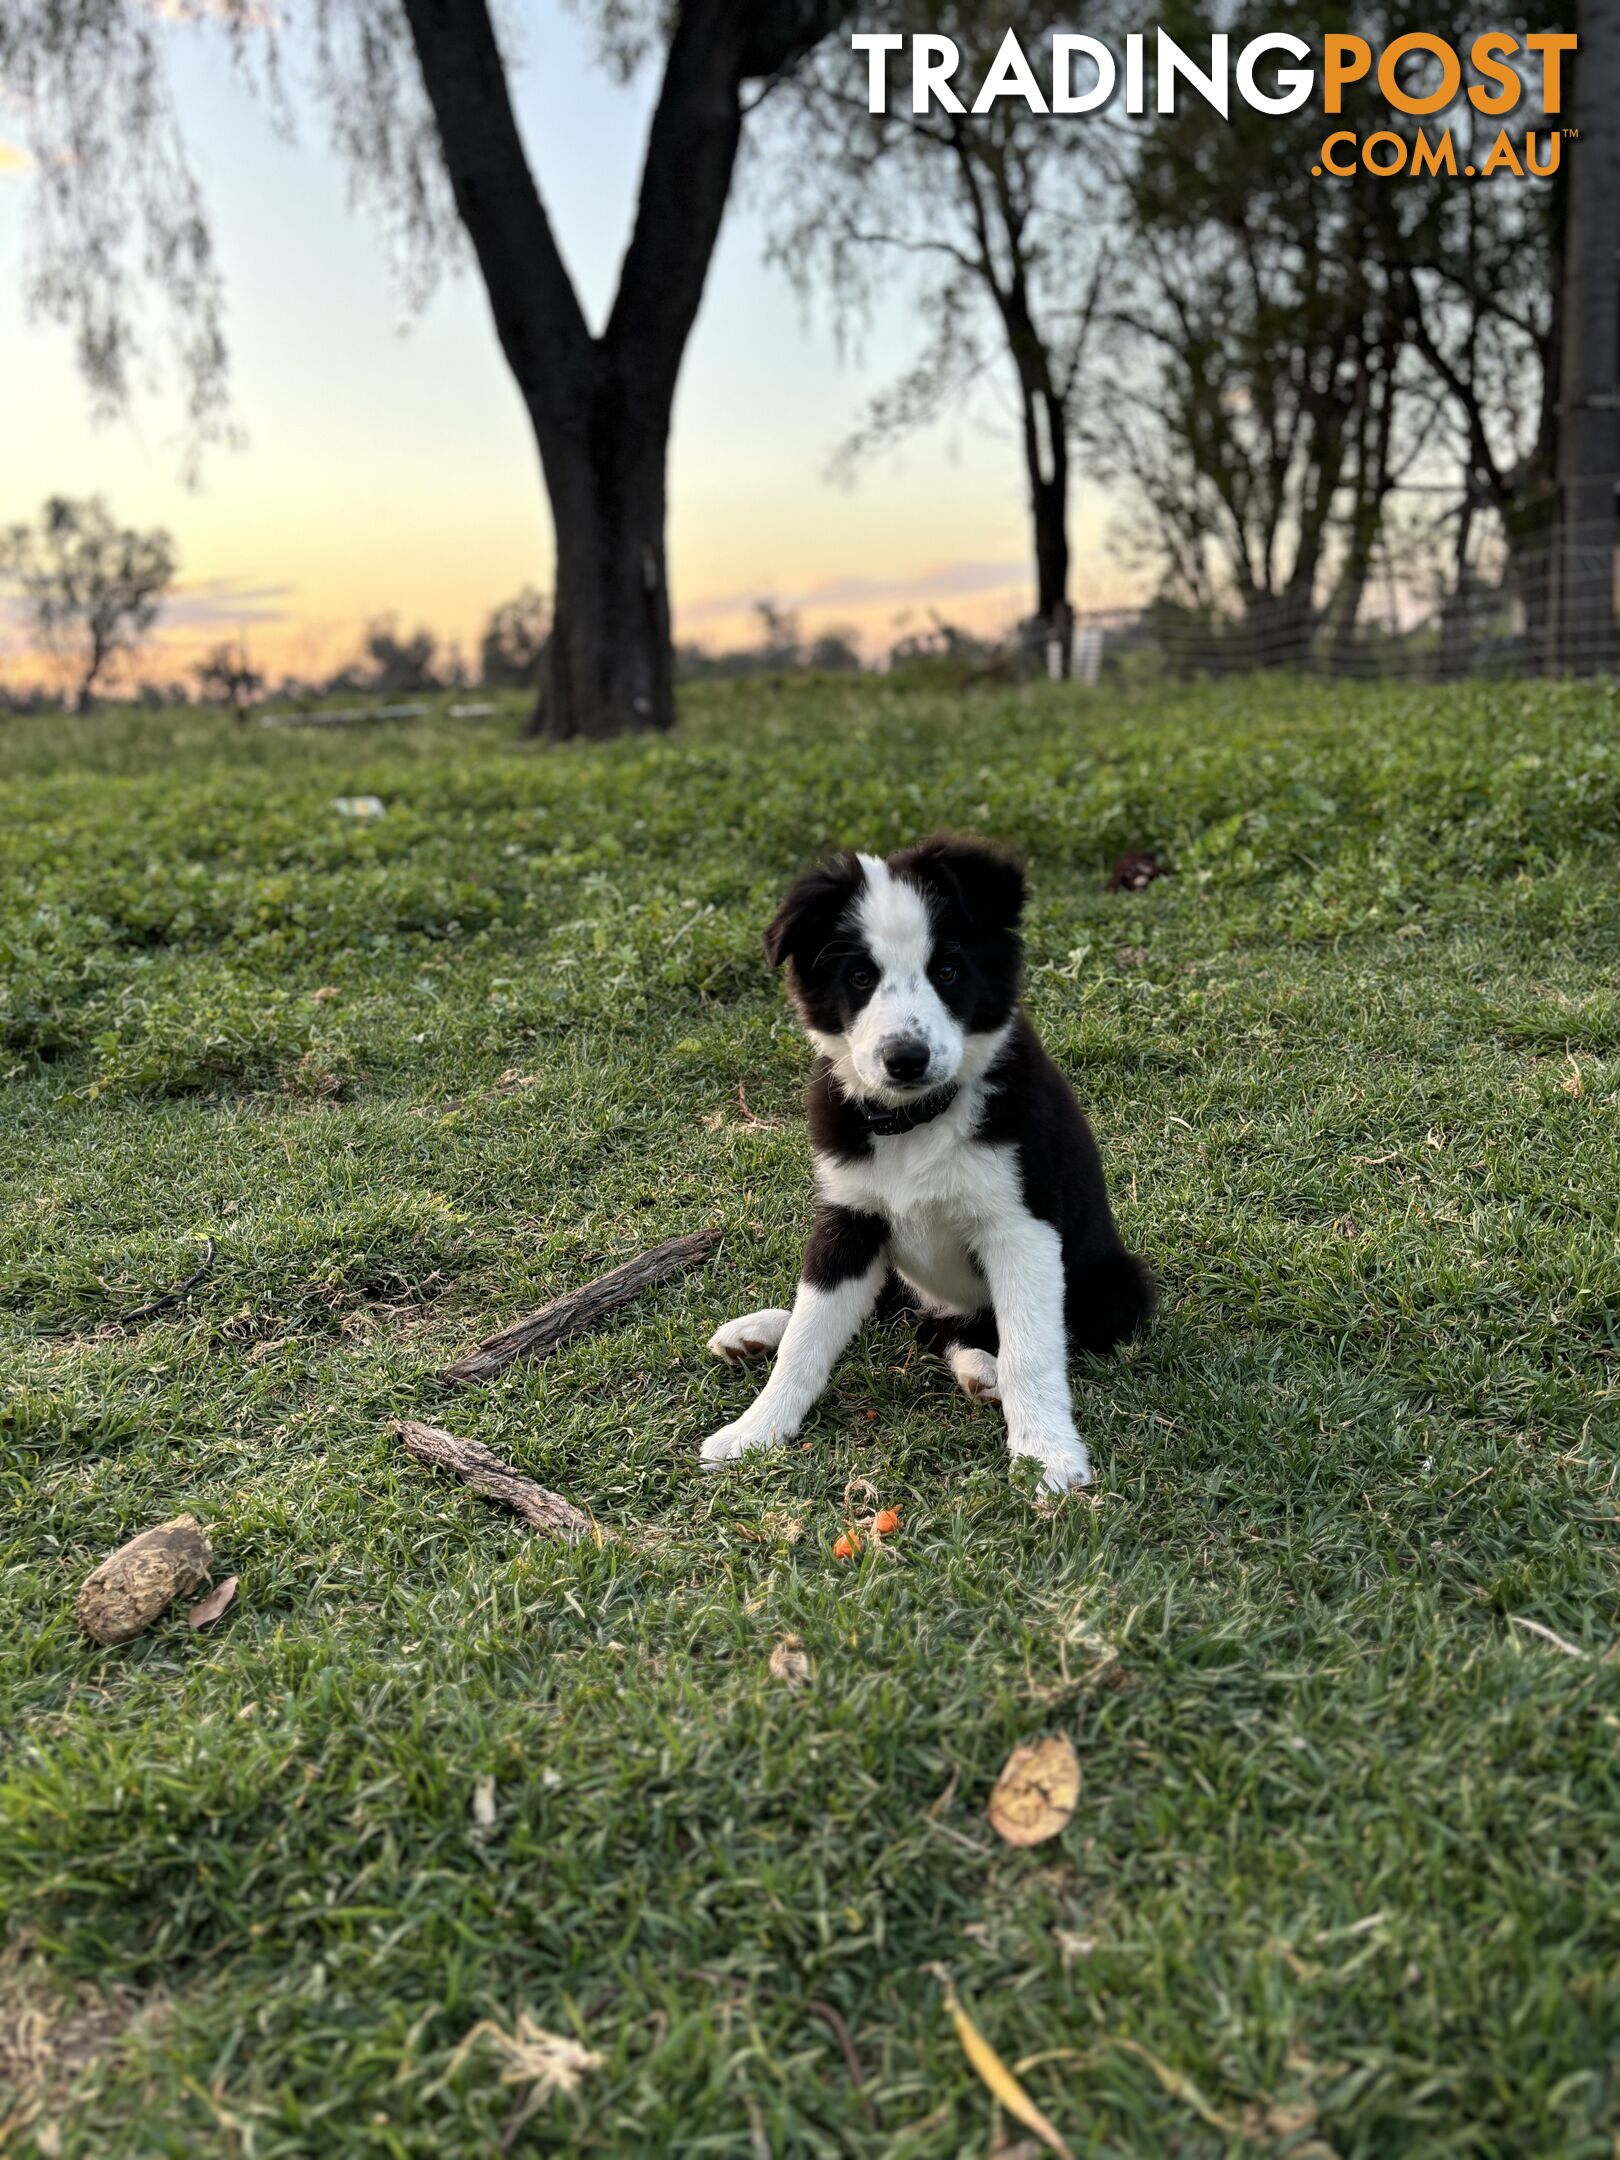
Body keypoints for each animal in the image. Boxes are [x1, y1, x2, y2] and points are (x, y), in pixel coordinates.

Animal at [704, 829, 1157, 1486]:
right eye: (859, 976)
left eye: (946, 970)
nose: (905, 1059)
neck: (915, 1119)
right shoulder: (849, 1217)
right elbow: (811, 1335)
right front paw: (755, 1431)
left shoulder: (1021, 1228)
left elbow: (1031, 1351)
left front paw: (1046, 1454)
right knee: (891, 1312)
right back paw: (760, 1330)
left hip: (1113, 1284)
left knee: (962, 1331)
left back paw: (981, 1369)